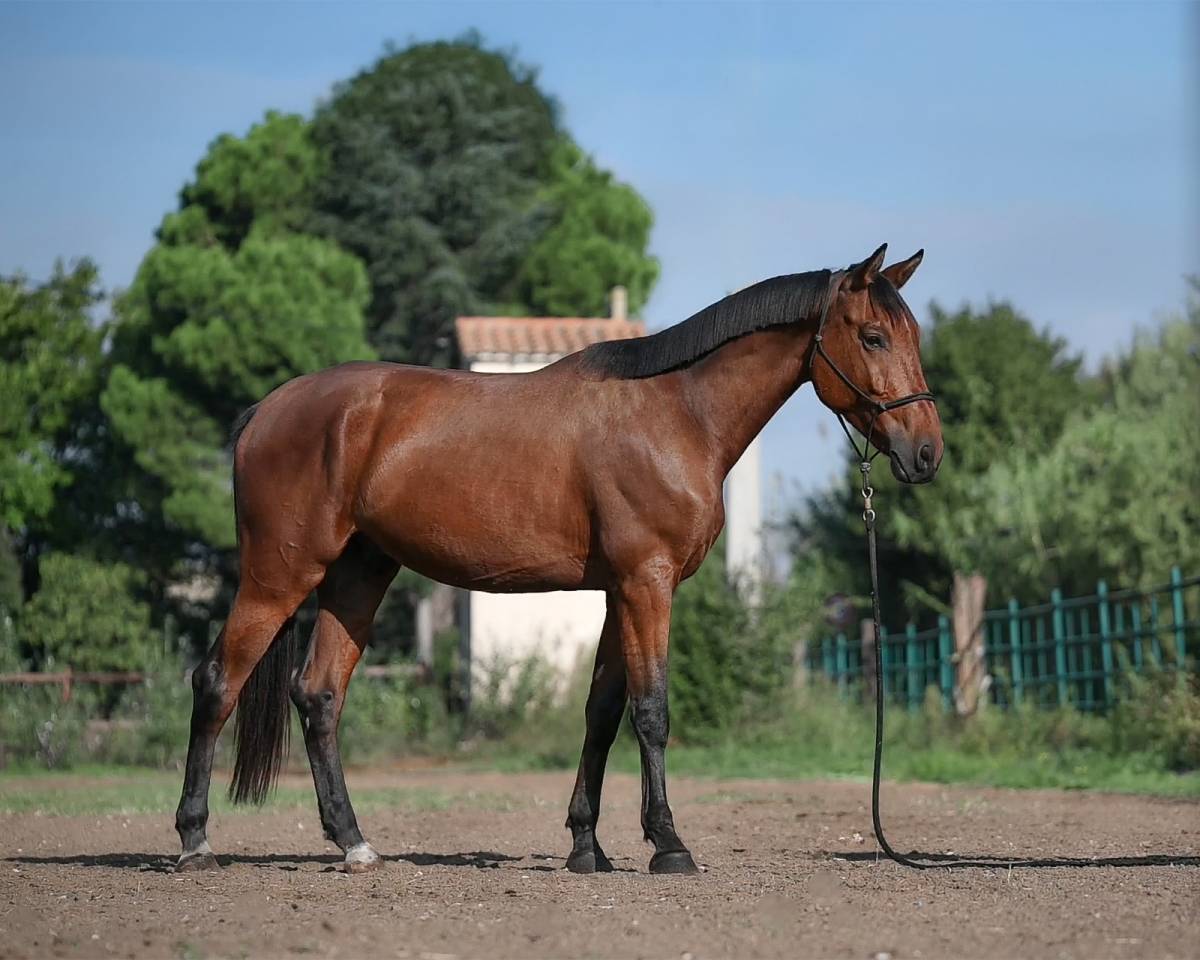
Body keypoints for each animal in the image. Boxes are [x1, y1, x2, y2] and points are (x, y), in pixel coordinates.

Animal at [173, 242, 942, 875]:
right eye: (873, 336)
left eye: (911, 336)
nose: (926, 451)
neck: (676, 414)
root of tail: (266, 412)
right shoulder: (647, 584)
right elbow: (651, 711)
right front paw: (668, 845)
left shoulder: (615, 593)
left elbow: (602, 712)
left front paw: (586, 846)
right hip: (279, 576)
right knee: (216, 683)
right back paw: (195, 840)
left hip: (359, 575)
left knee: (319, 695)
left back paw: (354, 844)